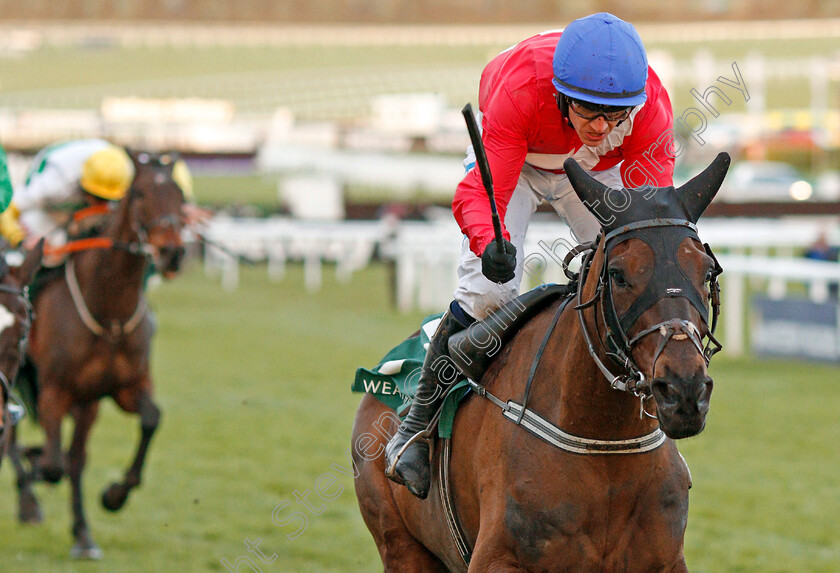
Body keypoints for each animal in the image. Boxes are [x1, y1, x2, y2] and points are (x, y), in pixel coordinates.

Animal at [6, 149, 185, 560]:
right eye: (140, 195)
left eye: (181, 196)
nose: (173, 253)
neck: (109, 312)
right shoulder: (55, 391)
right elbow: (54, 464)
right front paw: (36, 471)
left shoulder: (120, 389)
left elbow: (150, 419)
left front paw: (112, 498)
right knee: (16, 441)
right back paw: (28, 500)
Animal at [352, 153, 732, 572]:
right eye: (618, 275)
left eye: (707, 271)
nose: (683, 390)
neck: (604, 447)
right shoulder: (497, 559)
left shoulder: (664, 561)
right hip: (399, 543)